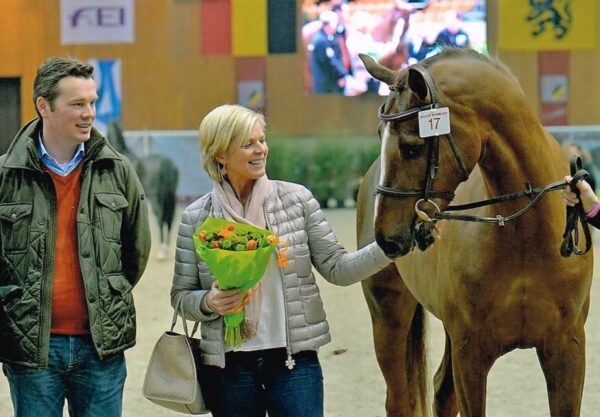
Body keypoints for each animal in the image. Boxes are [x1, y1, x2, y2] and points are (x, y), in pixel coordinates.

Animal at [106, 118, 179, 258]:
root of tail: (166, 163)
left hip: (156, 197)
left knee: (161, 216)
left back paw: (161, 251)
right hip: (170, 196)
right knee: (169, 218)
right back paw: (166, 248)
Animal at [354, 49, 592, 416]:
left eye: (412, 147)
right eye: (380, 135)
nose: (387, 239)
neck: (526, 237)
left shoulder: (568, 349)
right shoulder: (471, 353)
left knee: (441, 392)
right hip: (388, 317)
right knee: (400, 400)